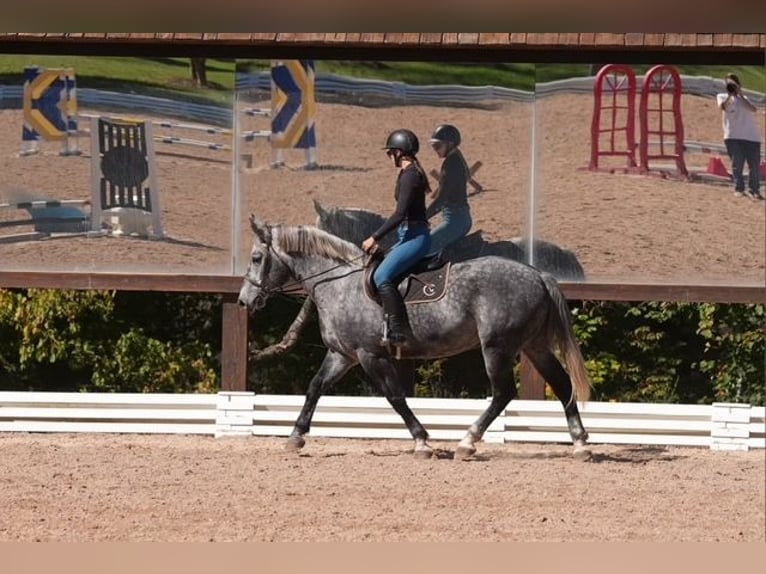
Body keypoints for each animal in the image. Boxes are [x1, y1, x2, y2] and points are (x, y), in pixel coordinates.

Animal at [238, 215, 593, 460]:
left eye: (256, 258)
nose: (244, 301)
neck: (339, 283)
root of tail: (538, 274)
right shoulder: (343, 355)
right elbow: (315, 388)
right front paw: (295, 436)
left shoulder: (369, 355)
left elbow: (395, 397)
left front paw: (422, 440)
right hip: (533, 346)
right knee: (562, 384)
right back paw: (579, 444)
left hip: (497, 347)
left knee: (503, 393)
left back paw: (467, 442)